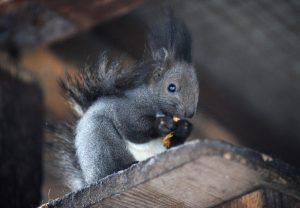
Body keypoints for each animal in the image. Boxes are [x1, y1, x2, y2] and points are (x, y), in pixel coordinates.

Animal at [52, 14, 199, 192]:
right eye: (171, 87)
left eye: (197, 88)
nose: (189, 113)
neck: (155, 103)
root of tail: (89, 179)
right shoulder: (127, 107)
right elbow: (131, 126)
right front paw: (161, 124)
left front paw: (184, 127)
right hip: (102, 141)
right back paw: (125, 165)